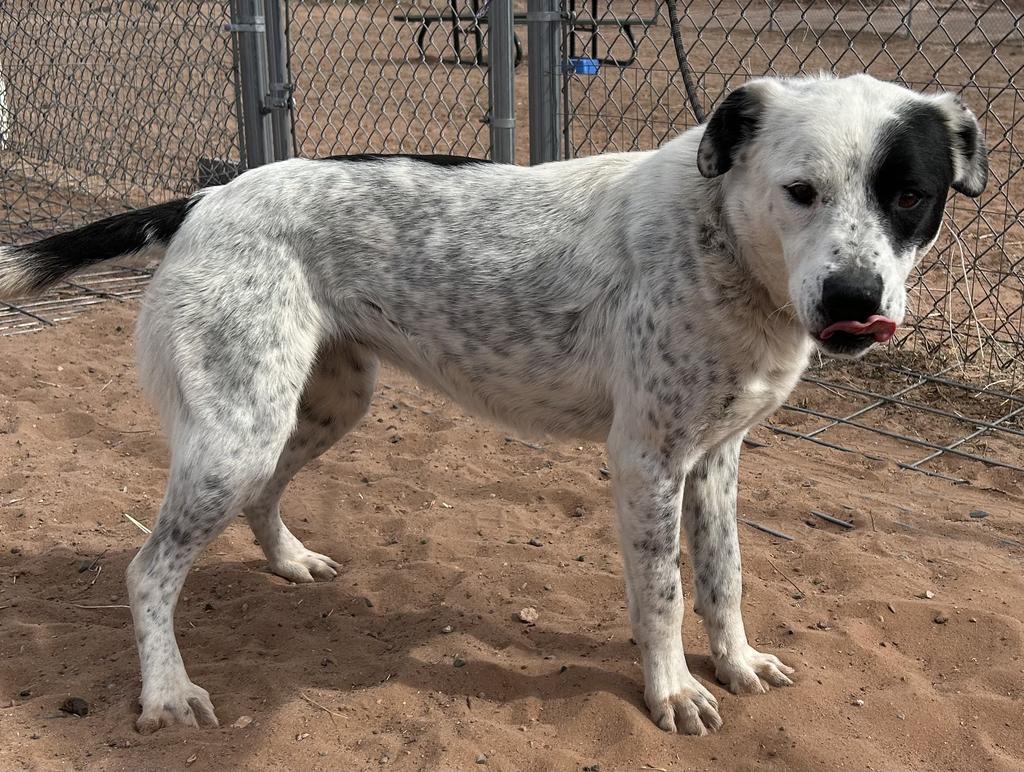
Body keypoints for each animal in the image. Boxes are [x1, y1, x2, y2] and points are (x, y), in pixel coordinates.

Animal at [0, 73, 983, 733]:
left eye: (910, 195)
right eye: (799, 192)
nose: (855, 301)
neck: (725, 246)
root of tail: (208, 194)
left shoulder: (714, 460)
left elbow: (725, 578)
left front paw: (735, 663)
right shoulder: (647, 461)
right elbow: (664, 594)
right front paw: (671, 691)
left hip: (322, 406)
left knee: (264, 498)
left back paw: (289, 561)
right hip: (236, 434)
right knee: (148, 570)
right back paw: (166, 692)